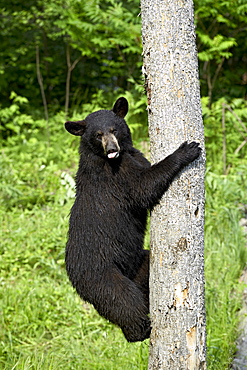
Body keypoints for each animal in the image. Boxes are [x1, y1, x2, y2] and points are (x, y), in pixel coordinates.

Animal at [64, 97, 202, 342]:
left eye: (114, 129)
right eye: (97, 134)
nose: (112, 149)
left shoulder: (133, 156)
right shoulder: (115, 176)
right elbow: (143, 186)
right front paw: (187, 150)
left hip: (137, 263)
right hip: (102, 275)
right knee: (123, 300)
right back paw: (140, 330)